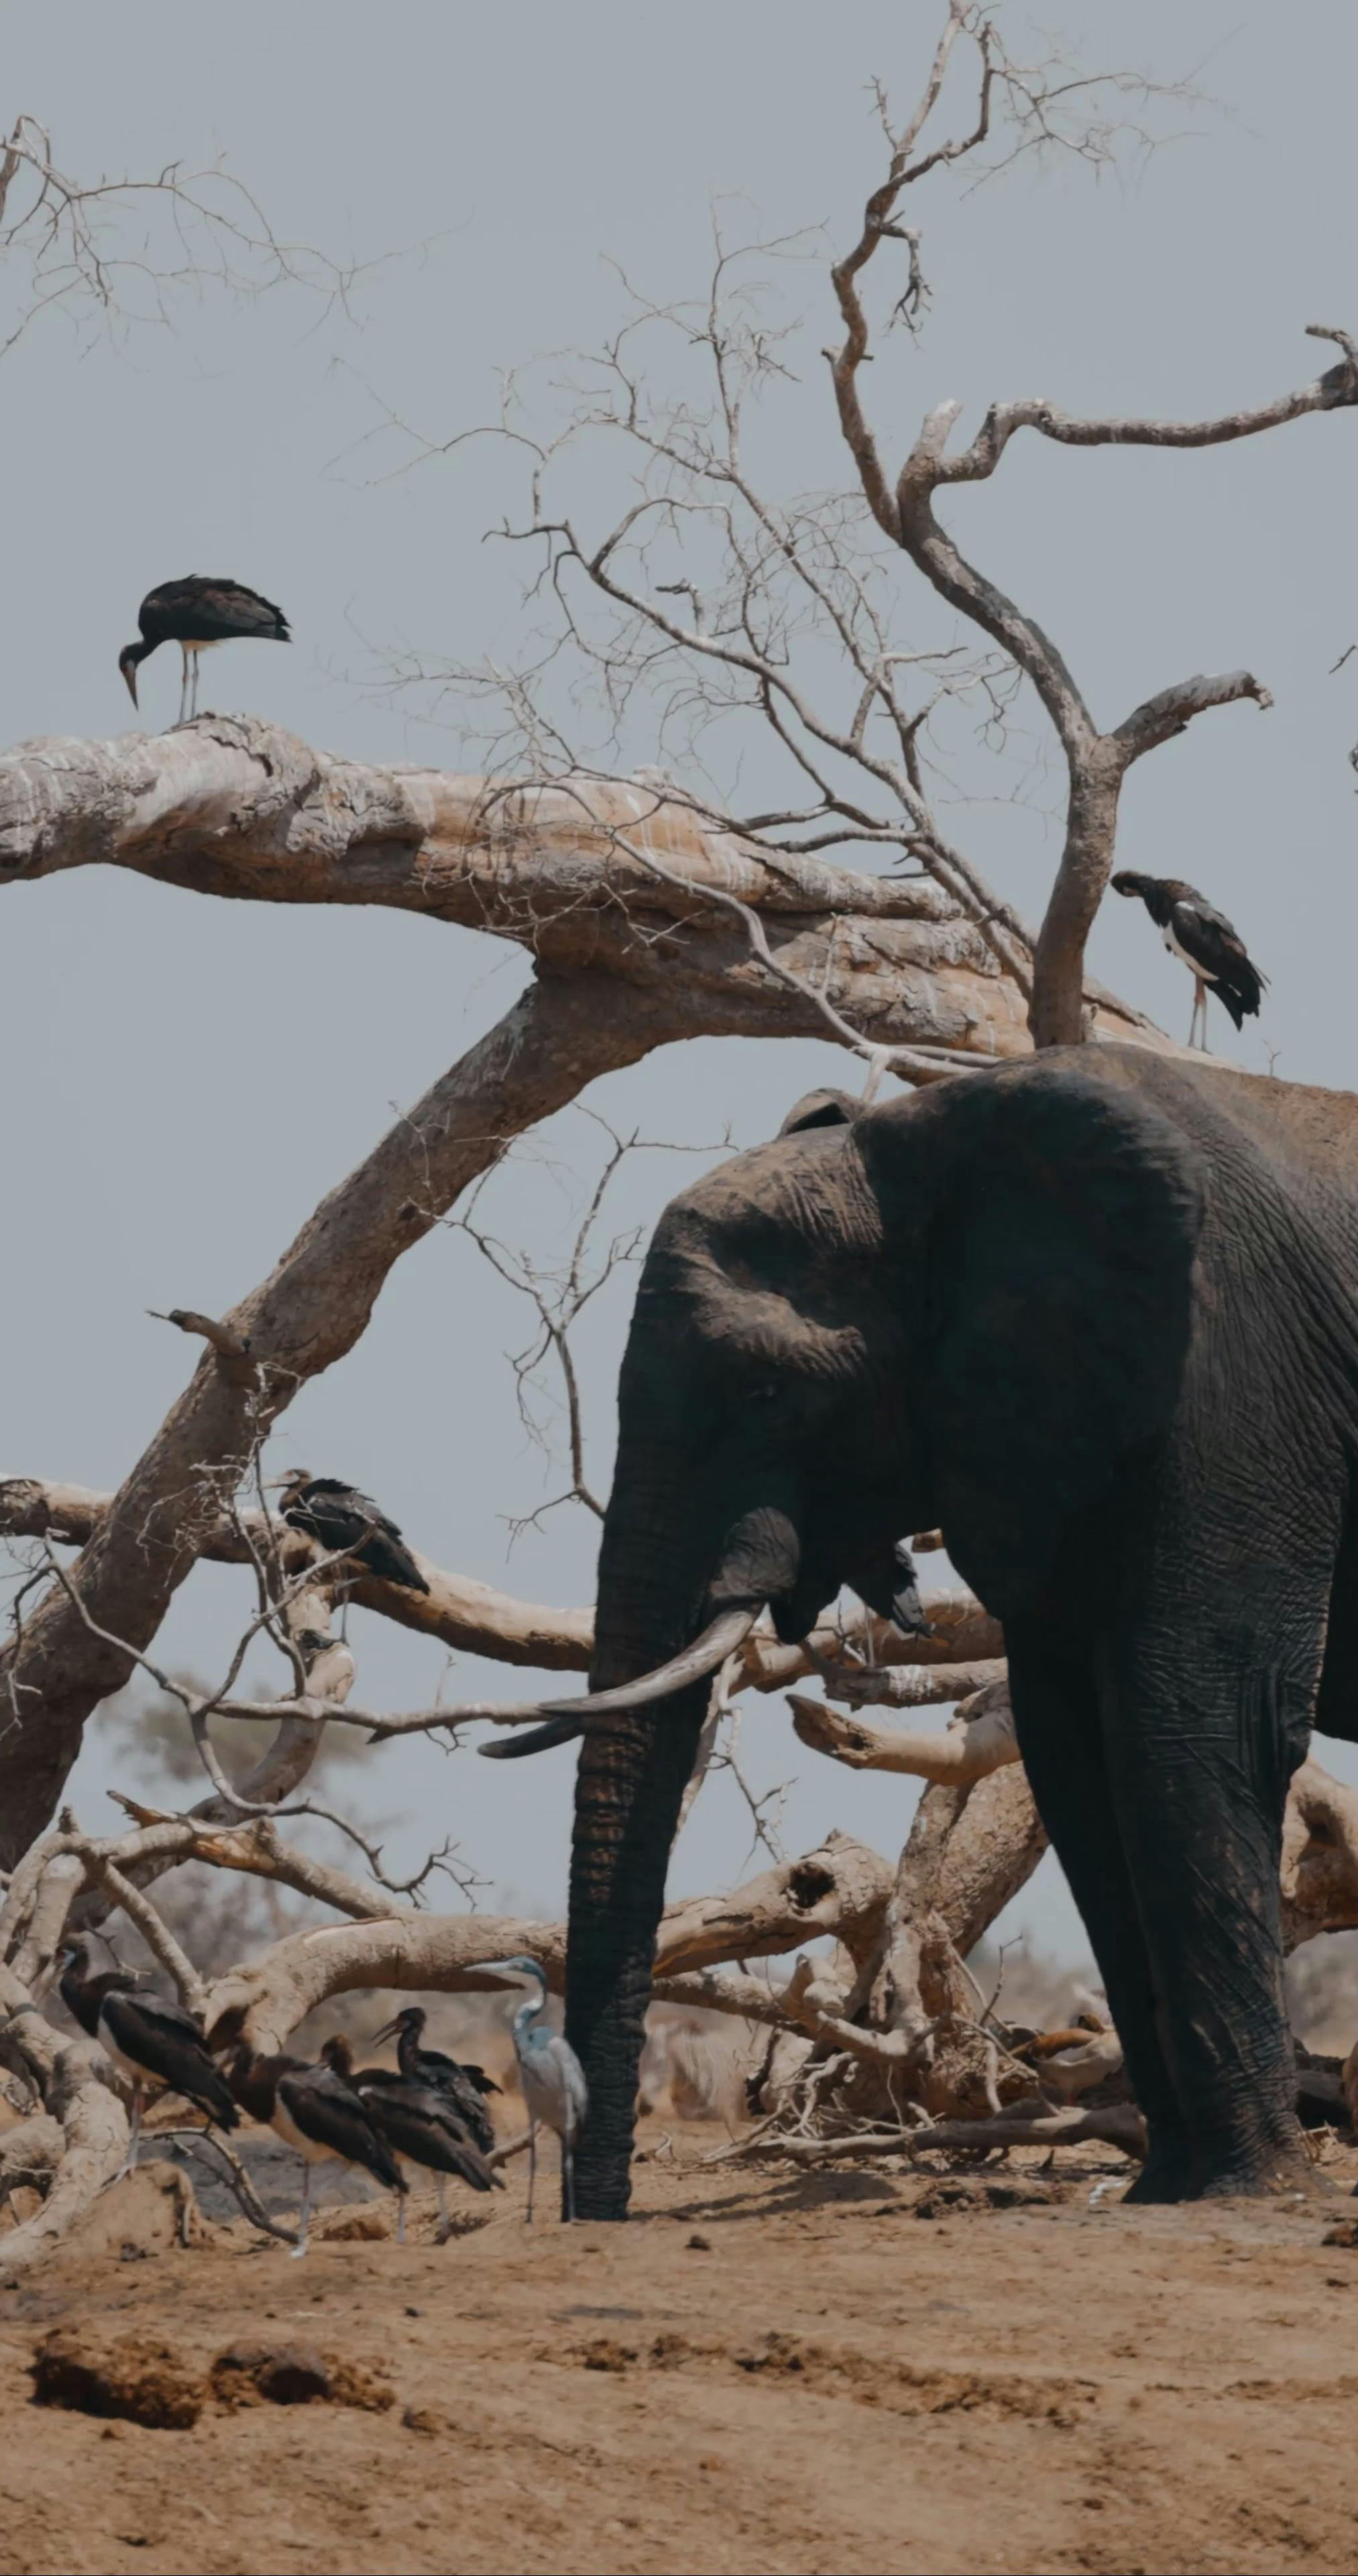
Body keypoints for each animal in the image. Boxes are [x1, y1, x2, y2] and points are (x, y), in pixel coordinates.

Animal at [498, 1042, 1358, 2218]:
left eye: (767, 1392)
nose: (601, 2216)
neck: (932, 1143)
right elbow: (1073, 1753)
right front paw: (1166, 2190)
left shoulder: (1234, 1392)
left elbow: (1198, 1724)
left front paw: (1246, 2189)